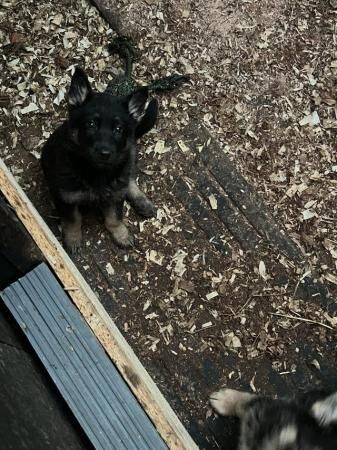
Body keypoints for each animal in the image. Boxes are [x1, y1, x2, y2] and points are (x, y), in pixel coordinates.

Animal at [40, 69, 155, 255]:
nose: (105, 153)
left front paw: (121, 234)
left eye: (118, 129)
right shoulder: (66, 198)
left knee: (127, 178)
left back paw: (141, 201)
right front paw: (73, 239)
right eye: (91, 124)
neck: (96, 172)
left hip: (127, 156)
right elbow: (73, 220)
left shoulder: (115, 195)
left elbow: (114, 217)